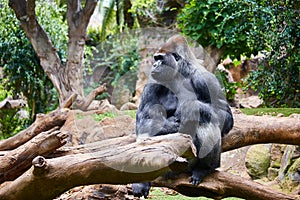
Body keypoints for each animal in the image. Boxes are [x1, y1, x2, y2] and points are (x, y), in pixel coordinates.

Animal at [132, 35, 233, 198]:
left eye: (160, 58)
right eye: (156, 58)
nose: (154, 65)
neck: (180, 72)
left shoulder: (205, 79)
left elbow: (226, 116)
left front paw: (190, 107)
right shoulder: (153, 81)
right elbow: (144, 116)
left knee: (206, 120)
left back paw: (204, 168)